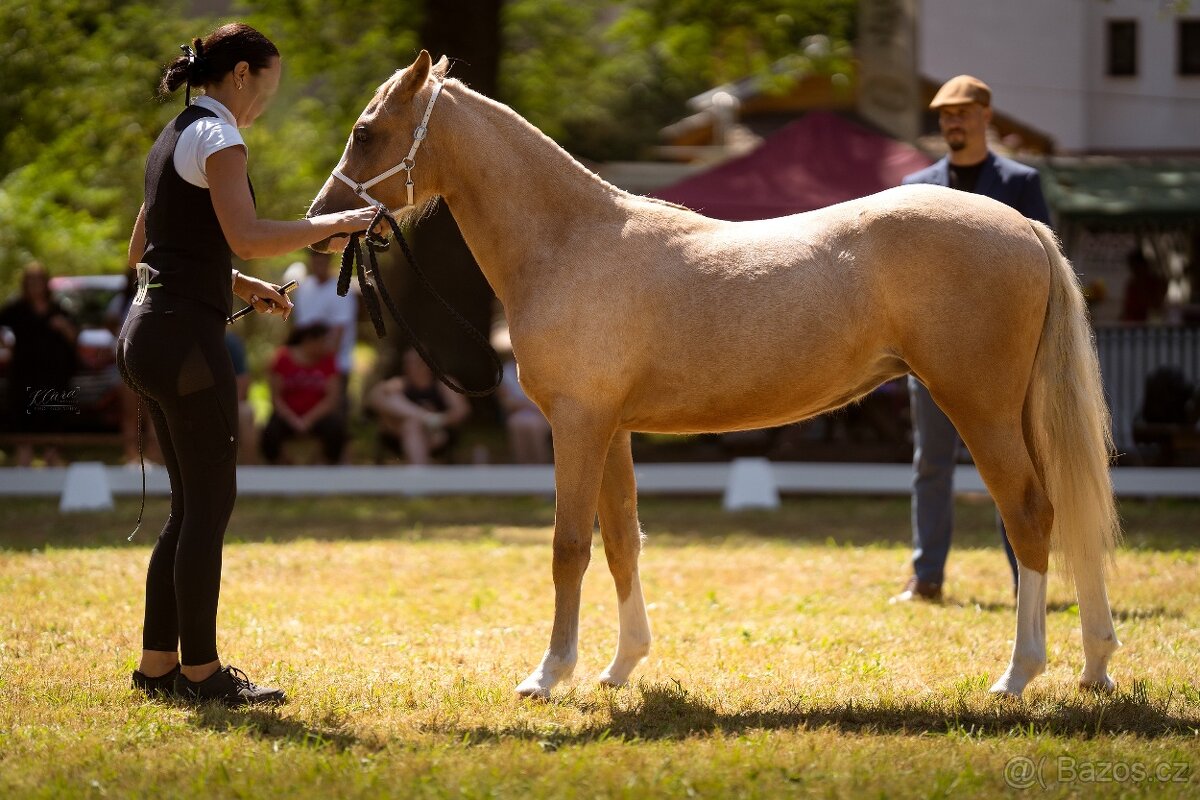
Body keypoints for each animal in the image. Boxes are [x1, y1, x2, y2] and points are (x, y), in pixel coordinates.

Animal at [308, 51, 1121, 700]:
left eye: (365, 130)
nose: (321, 219)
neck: (573, 240)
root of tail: (1025, 228)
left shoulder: (577, 424)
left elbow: (569, 546)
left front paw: (548, 675)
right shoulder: (611, 429)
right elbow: (622, 540)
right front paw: (621, 668)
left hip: (979, 408)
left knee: (1030, 515)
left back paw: (1018, 675)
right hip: (1018, 411)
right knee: (1069, 511)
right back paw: (1095, 666)